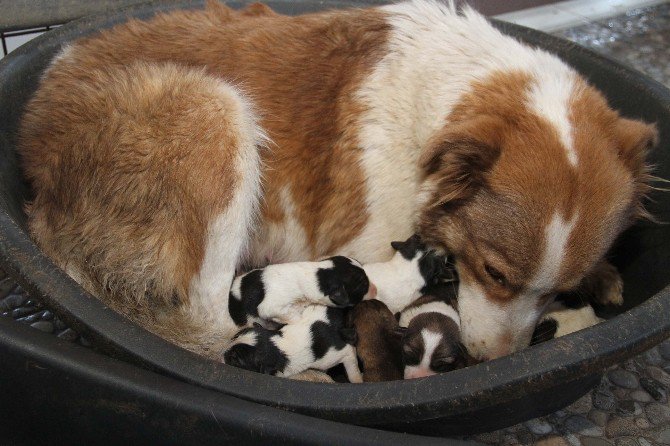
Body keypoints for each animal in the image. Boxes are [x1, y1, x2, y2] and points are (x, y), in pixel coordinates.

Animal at [224, 306, 362, 384]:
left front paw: (358, 381)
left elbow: (352, 371)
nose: (223, 352)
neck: (279, 345)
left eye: (235, 359)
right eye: (235, 336)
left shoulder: (344, 351)